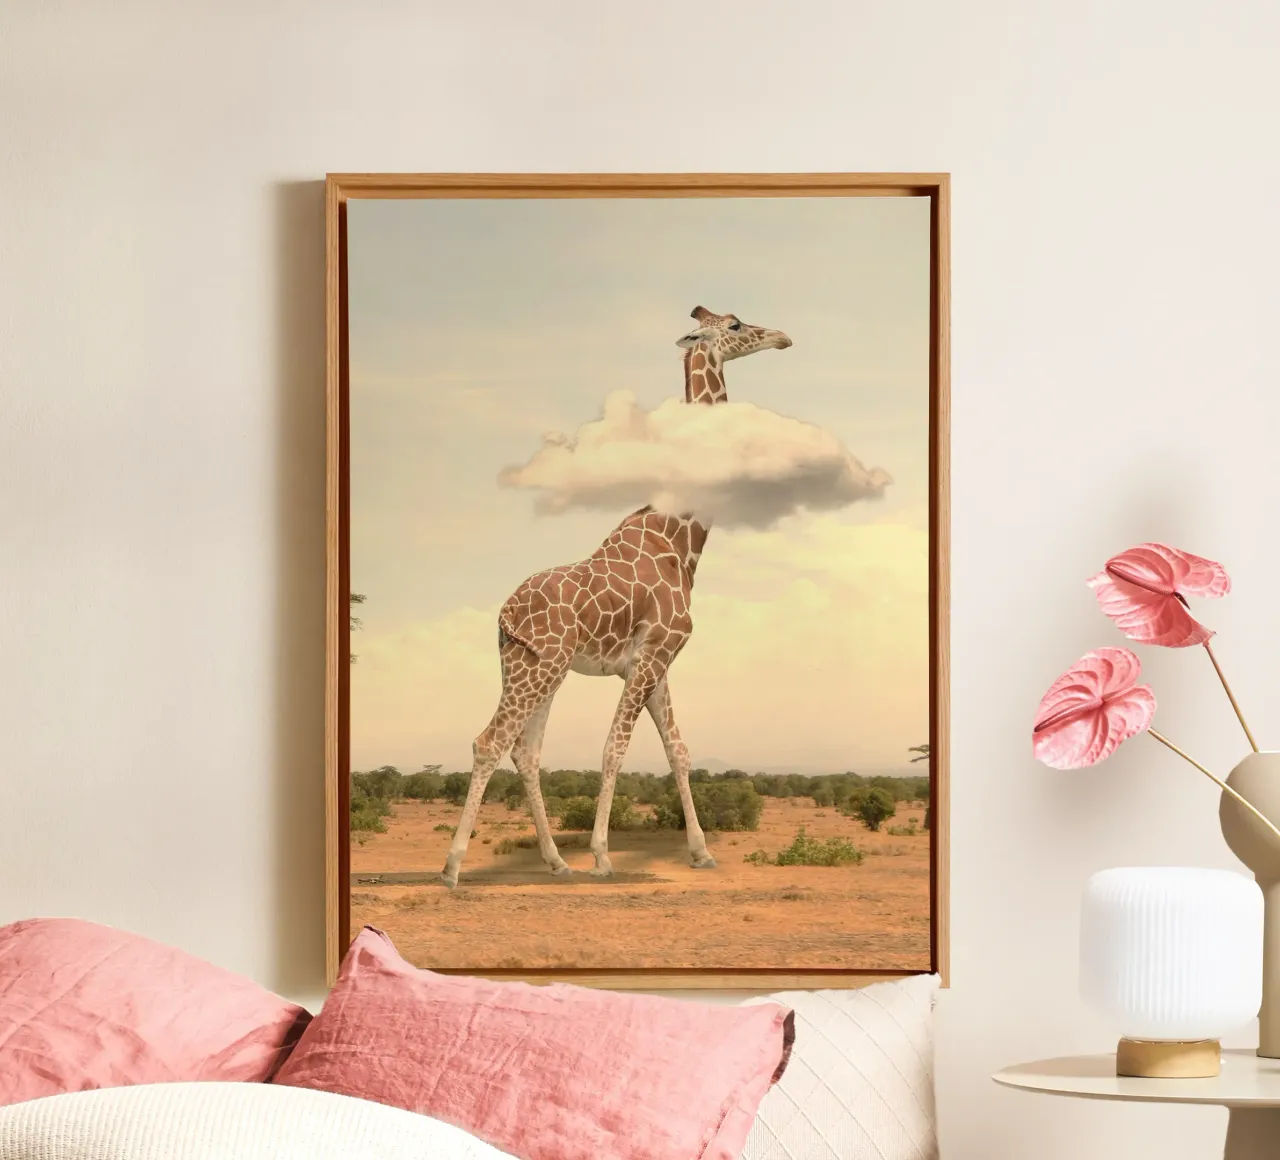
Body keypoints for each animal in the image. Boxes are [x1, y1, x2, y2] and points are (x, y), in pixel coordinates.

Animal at [440, 307, 792, 888]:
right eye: (737, 325)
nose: (783, 337)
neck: (681, 539)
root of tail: (504, 615)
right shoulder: (652, 656)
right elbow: (615, 749)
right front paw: (603, 856)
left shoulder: (655, 662)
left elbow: (679, 750)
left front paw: (701, 852)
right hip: (541, 667)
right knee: (491, 741)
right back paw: (452, 867)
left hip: (532, 666)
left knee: (525, 751)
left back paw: (557, 862)